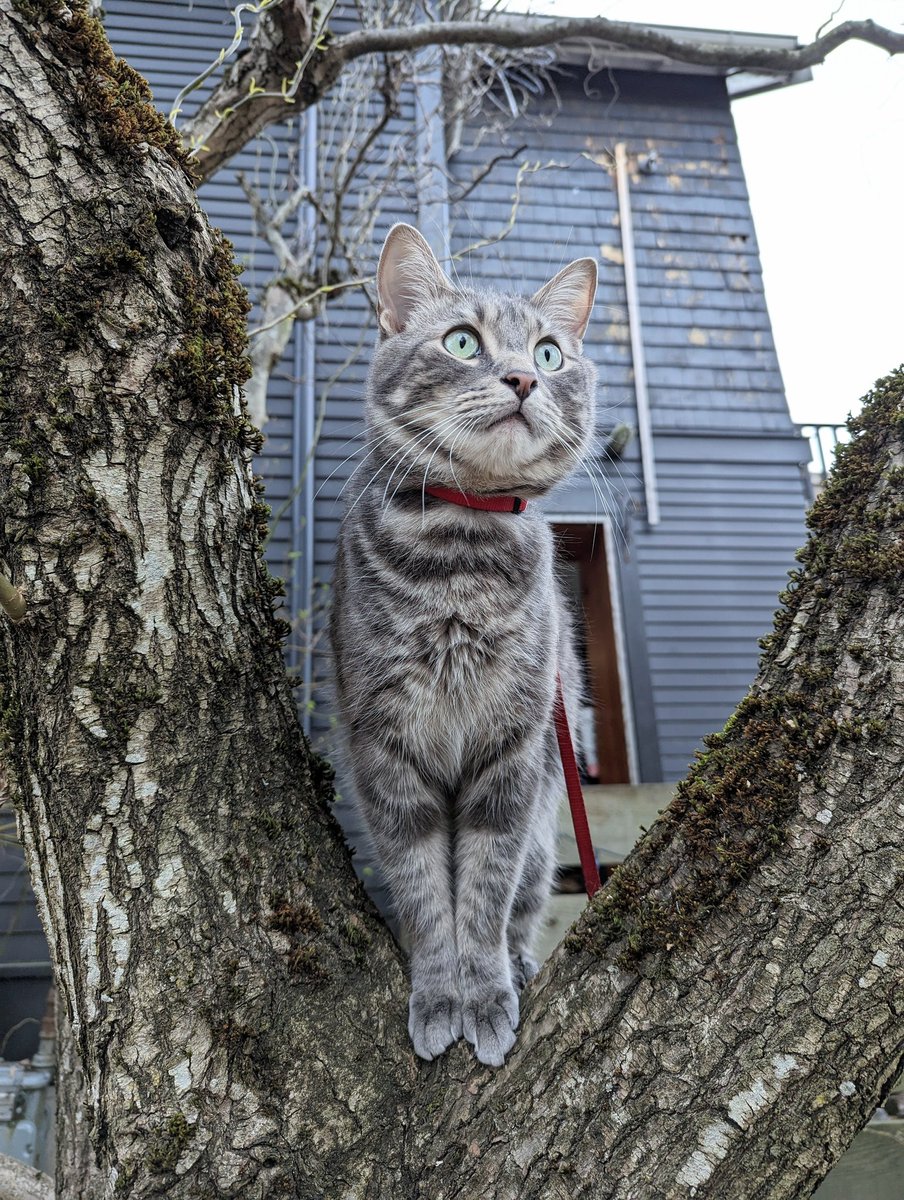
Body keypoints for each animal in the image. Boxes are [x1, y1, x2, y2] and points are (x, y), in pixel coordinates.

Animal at [328, 225, 595, 1070]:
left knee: (525, 901)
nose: (522, 376)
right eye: (462, 341)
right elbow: (422, 892)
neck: (460, 557)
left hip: (546, 823)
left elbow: (483, 893)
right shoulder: (385, 745)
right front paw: (440, 995)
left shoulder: (512, 750)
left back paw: (518, 963)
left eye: (550, 353)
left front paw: (483, 996)